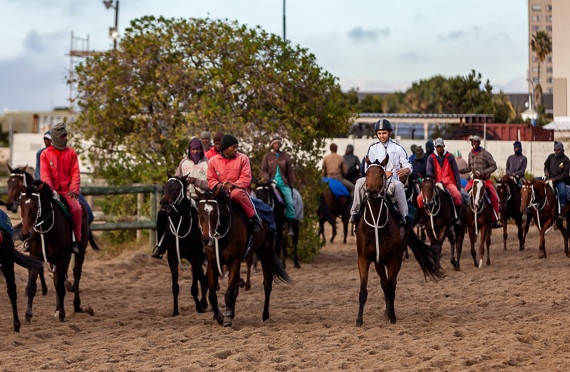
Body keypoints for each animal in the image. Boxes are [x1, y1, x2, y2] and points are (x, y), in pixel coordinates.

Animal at [18, 181, 99, 322]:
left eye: (35, 205)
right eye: (21, 203)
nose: (25, 234)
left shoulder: (63, 258)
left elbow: (60, 286)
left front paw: (62, 313)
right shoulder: (35, 256)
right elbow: (32, 287)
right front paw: (28, 314)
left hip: (79, 253)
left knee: (76, 274)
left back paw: (76, 305)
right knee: (57, 279)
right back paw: (57, 308)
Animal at [156, 176, 207, 316]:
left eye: (178, 188)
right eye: (165, 186)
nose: (164, 203)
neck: (182, 225)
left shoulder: (195, 258)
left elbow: (194, 288)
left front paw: (199, 307)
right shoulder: (172, 257)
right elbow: (175, 287)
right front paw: (175, 311)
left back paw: (204, 304)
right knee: (203, 278)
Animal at [196, 187, 292, 326]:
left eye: (214, 212)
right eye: (199, 212)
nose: (206, 239)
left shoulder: (235, 260)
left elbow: (229, 292)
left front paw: (227, 317)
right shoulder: (213, 262)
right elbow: (213, 295)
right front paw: (219, 315)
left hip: (265, 252)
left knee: (267, 283)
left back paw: (265, 315)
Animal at [352, 158, 442, 326]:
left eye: (381, 174)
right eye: (367, 173)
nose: (371, 192)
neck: (376, 224)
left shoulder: (393, 259)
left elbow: (391, 287)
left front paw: (392, 316)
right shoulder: (363, 258)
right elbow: (363, 291)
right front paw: (359, 320)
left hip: (396, 257)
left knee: (391, 284)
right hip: (379, 262)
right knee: (384, 283)